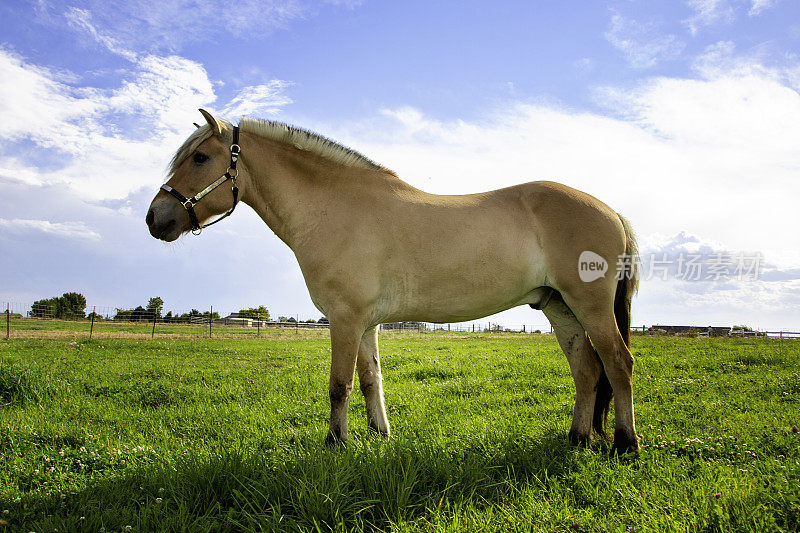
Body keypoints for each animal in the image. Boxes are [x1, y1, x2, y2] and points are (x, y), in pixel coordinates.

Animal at [145, 109, 644, 454]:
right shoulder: (366, 323)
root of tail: (612, 210)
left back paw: (626, 444)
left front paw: (335, 444)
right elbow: (370, 380)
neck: (336, 208)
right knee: (586, 369)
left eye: (201, 157)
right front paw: (378, 435)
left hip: (590, 305)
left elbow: (339, 384)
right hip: (559, 306)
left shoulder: (344, 320)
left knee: (618, 363)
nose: (155, 218)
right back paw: (578, 438)